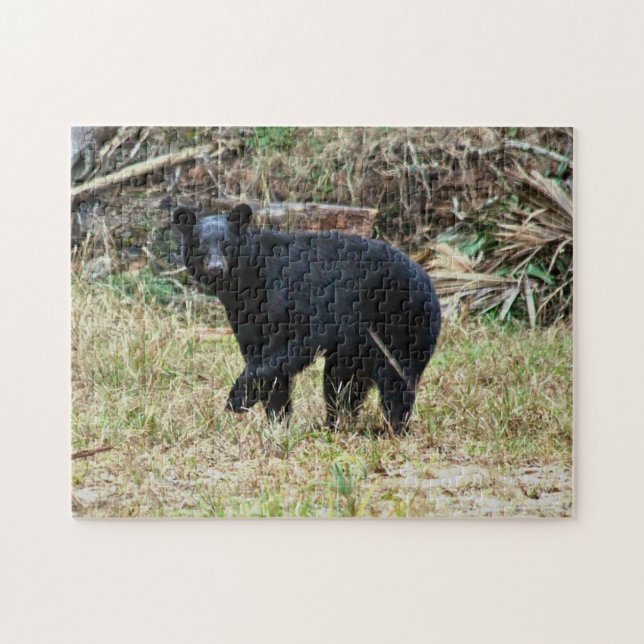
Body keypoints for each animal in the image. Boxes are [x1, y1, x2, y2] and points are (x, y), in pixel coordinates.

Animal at [172, 203, 441, 433]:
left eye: (227, 244)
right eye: (200, 244)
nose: (216, 268)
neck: (248, 286)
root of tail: (429, 283)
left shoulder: (298, 295)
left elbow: (303, 340)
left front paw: (237, 397)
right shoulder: (246, 316)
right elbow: (268, 366)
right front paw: (276, 420)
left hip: (402, 323)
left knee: (395, 380)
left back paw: (392, 428)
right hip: (360, 346)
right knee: (342, 383)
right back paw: (334, 424)